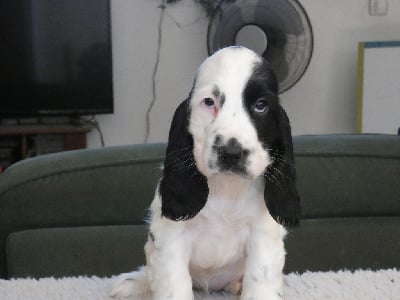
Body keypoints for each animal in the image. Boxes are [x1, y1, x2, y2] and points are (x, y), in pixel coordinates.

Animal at [111, 46, 298, 300]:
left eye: (261, 105)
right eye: (209, 102)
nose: (231, 152)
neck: (227, 189)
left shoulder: (263, 235)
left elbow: (261, 279)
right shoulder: (171, 237)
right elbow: (173, 283)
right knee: (150, 273)